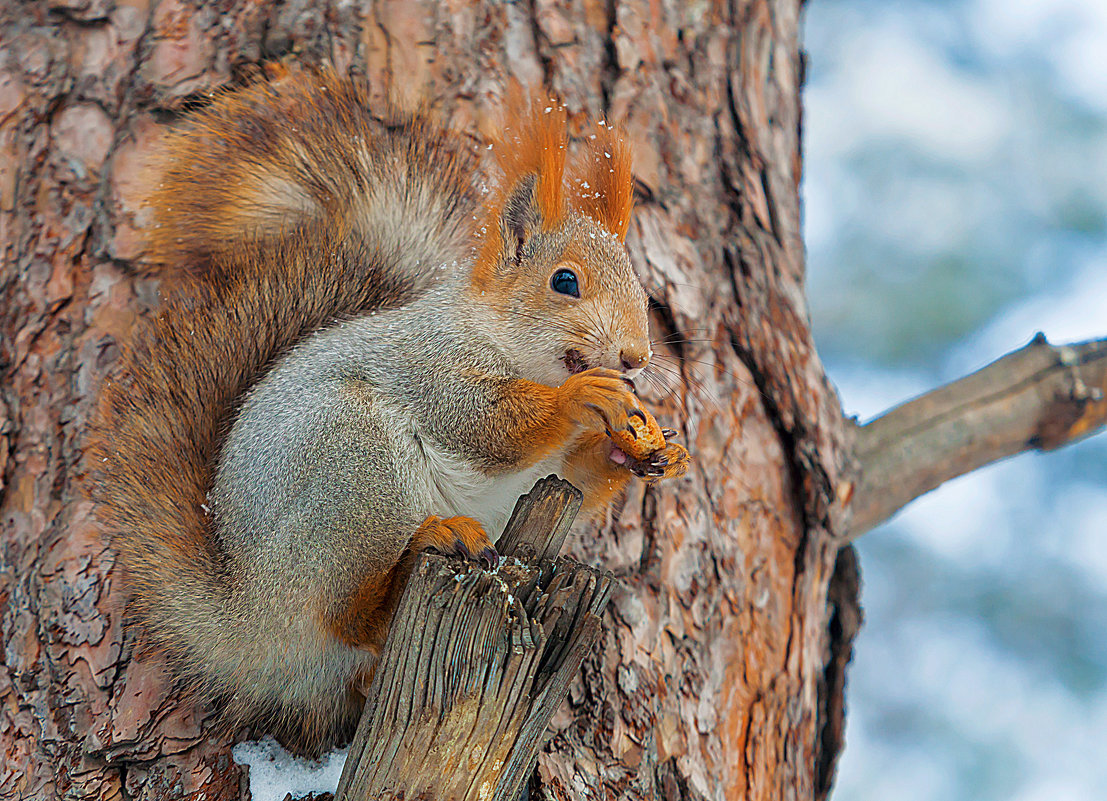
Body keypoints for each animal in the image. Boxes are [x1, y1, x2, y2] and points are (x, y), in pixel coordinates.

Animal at [88, 65, 690, 752]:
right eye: (565, 282)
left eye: (642, 291)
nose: (637, 357)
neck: (504, 342)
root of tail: (249, 616)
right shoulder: (432, 366)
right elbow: (484, 424)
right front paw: (583, 397)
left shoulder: (548, 473)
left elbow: (578, 479)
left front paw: (653, 452)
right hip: (356, 472)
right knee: (347, 616)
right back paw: (421, 556)